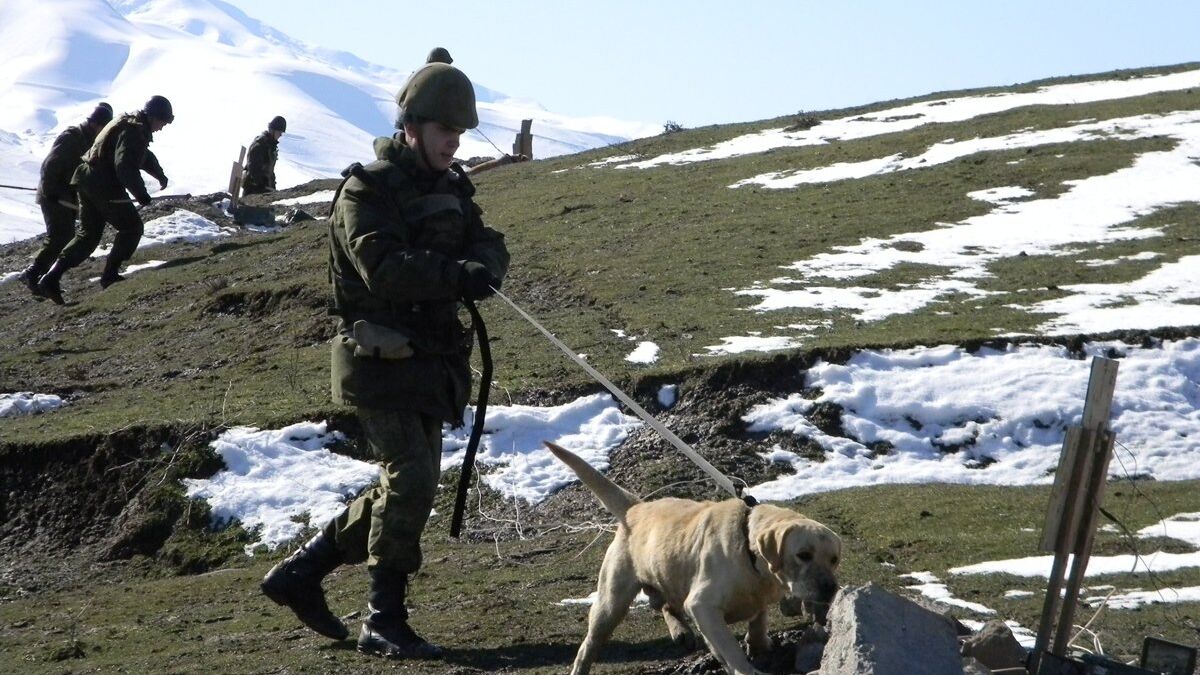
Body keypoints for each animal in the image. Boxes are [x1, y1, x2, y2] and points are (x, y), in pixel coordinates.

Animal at [547, 441, 844, 672]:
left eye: (834, 560)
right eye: (803, 555)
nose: (830, 588)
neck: (749, 553)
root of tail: (636, 509)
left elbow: (759, 620)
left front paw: (758, 644)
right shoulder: (703, 605)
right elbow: (730, 648)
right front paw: (745, 667)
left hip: (670, 575)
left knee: (667, 605)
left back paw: (681, 631)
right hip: (611, 603)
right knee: (588, 646)